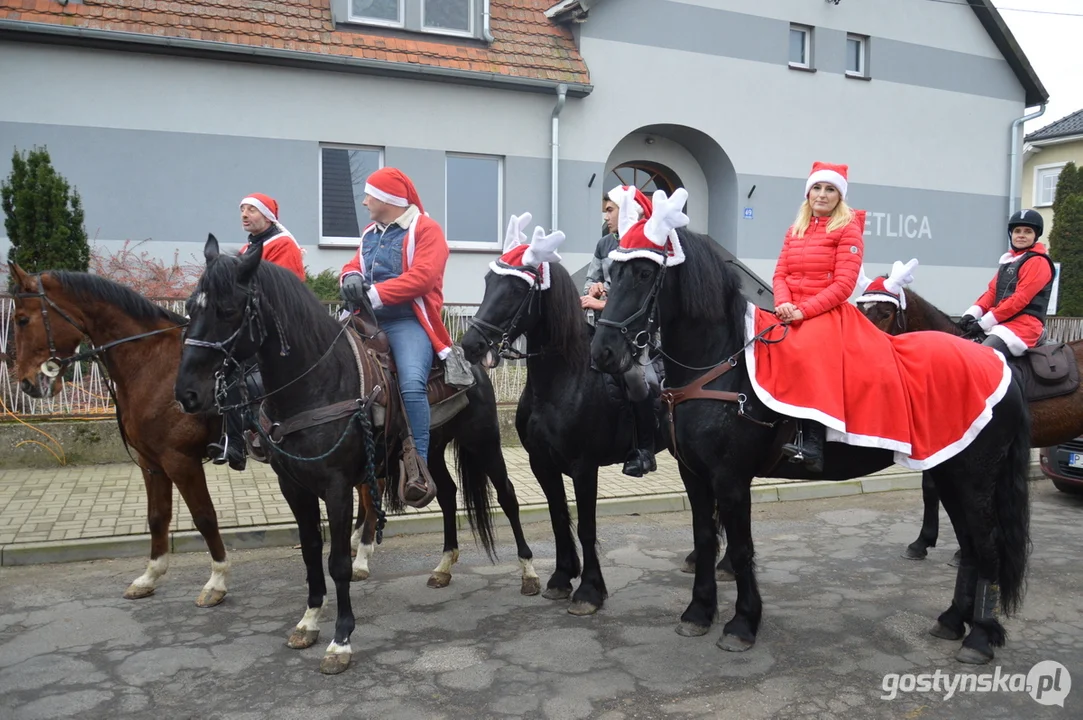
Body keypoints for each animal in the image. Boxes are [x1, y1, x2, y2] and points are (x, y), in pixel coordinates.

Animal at [176, 236, 541, 675]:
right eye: (192, 305)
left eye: (228, 309)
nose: (187, 393)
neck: (318, 383)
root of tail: (476, 360)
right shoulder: (293, 486)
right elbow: (311, 552)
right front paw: (308, 621)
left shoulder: (336, 487)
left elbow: (338, 561)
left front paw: (341, 640)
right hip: (432, 450)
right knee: (449, 495)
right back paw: (443, 566)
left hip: (482, 443)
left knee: (507, 497)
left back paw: (528, 573)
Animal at [459, 256, 667, 610]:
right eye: (488, 281)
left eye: (516, 289)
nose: (470, 344)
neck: (563, 380)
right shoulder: (541, 463)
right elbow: (558, 518)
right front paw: (560, 578)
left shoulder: (584, 467)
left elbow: (586, 527)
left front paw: (589, 591)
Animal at [593, 227, 1031, 666]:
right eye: (612, 272)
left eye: (645, 273)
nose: (603, 351)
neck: (720, 369)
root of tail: (1002, 368)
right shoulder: (694, 476)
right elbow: (704, 540)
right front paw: (698, 612)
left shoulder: (731, 479)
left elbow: (741, 548)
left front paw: (743, 623)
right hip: (948, 473)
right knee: (970, 548)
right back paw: (953, 620)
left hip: (974, 480)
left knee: (987, 547)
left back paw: (980, 636)